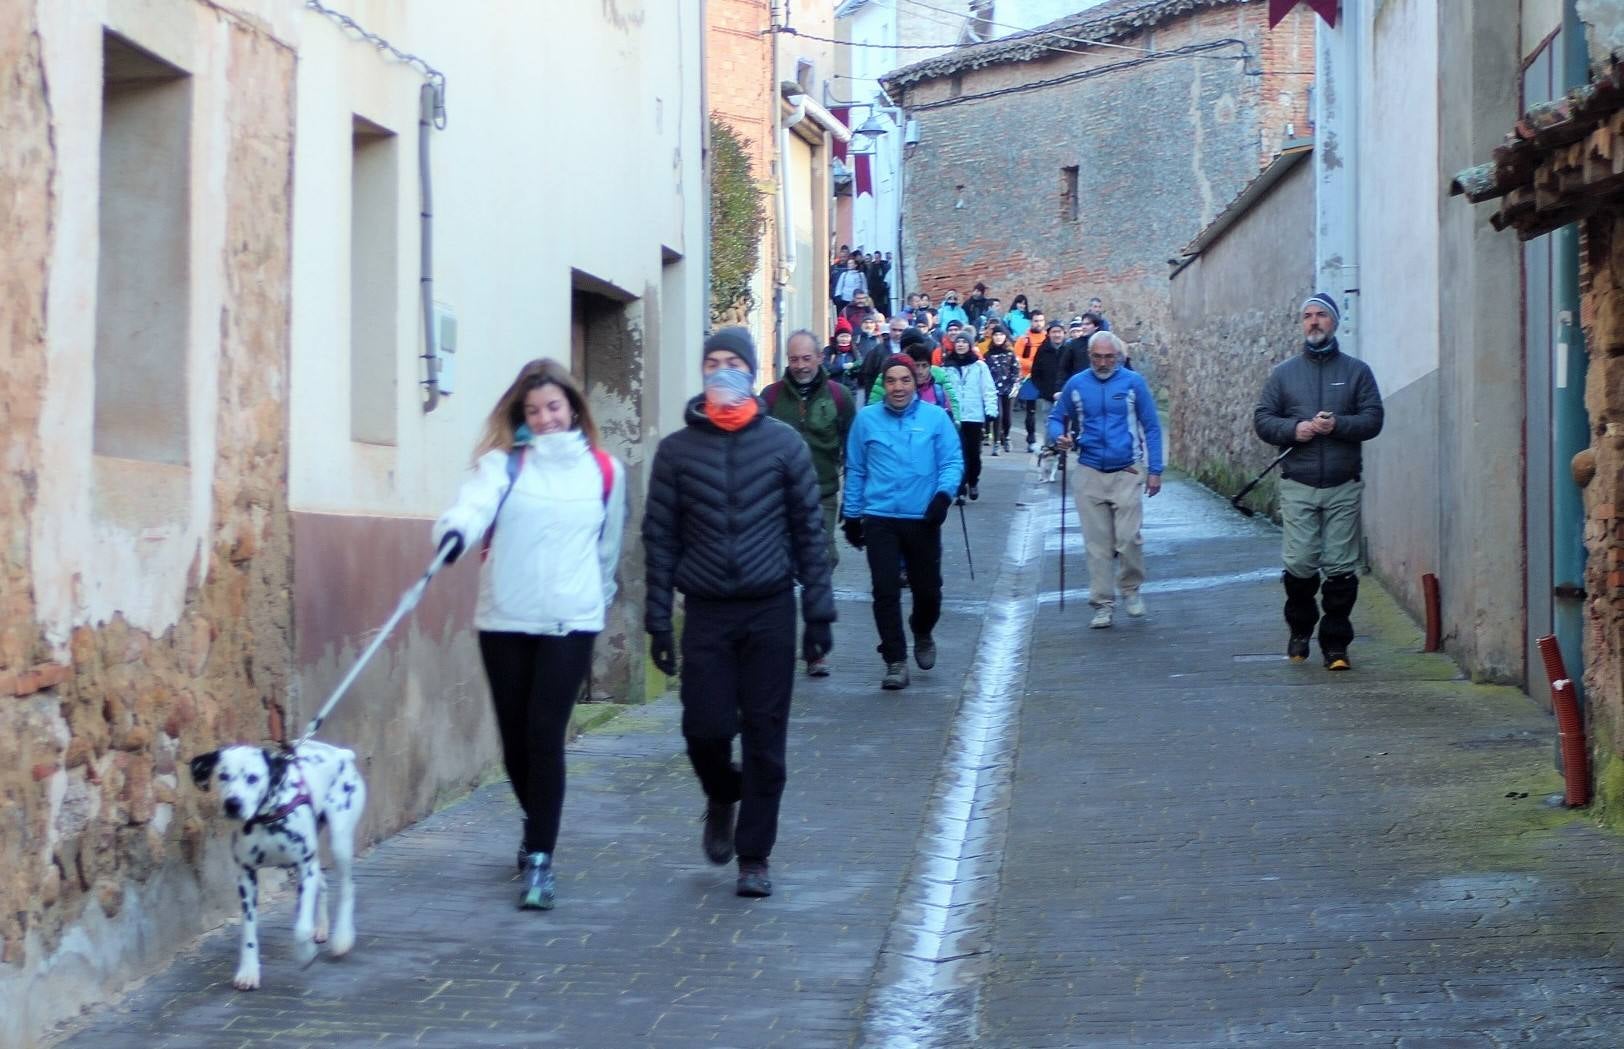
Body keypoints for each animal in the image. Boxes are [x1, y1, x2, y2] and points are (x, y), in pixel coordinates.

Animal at [188, 740, 367, 993]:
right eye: (223, 775)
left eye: (253, 777)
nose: (233, 804)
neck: (266, 818)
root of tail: (341, 752)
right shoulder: (246, 877)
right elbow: (248, 931)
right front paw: (248, 972)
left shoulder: (305, 867)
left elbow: (301, 927)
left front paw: (305, 954)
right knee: (323, 883)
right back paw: (321, 928)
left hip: (340, 840)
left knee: (347, 887)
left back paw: (342, 937)